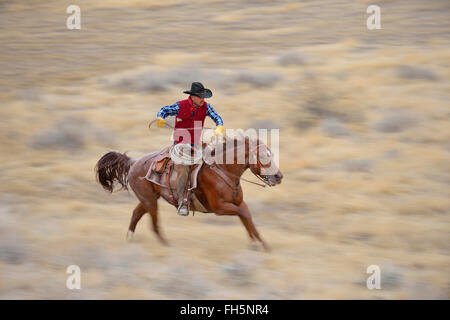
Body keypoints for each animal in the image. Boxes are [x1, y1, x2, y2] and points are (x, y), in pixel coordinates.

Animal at [95, 135, 284, 250]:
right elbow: (244, 215)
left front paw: (261, 244)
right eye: (263, 156)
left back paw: (130, 239)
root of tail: (133, 163)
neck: (223, 170)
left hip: (149, 198)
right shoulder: (220, 208)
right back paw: (166, 245)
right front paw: (259, 245)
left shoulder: (238, 203)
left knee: (136, 214)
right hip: (150, 200)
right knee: (153, 224)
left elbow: (248, 219)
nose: (279, 176)